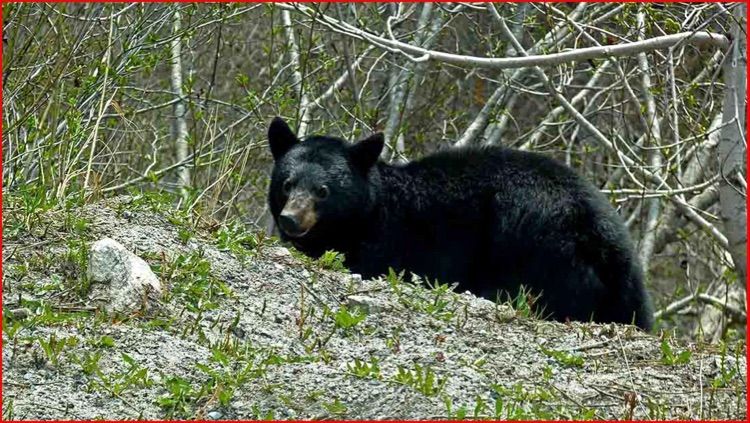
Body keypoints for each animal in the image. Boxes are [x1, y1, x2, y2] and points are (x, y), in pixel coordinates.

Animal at [268, 117, 656, 332]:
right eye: (287, 183)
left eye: (323, 191)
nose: (291, 219)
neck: (371, 211)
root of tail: (606, 238)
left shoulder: (391, 241)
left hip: (534, 246)